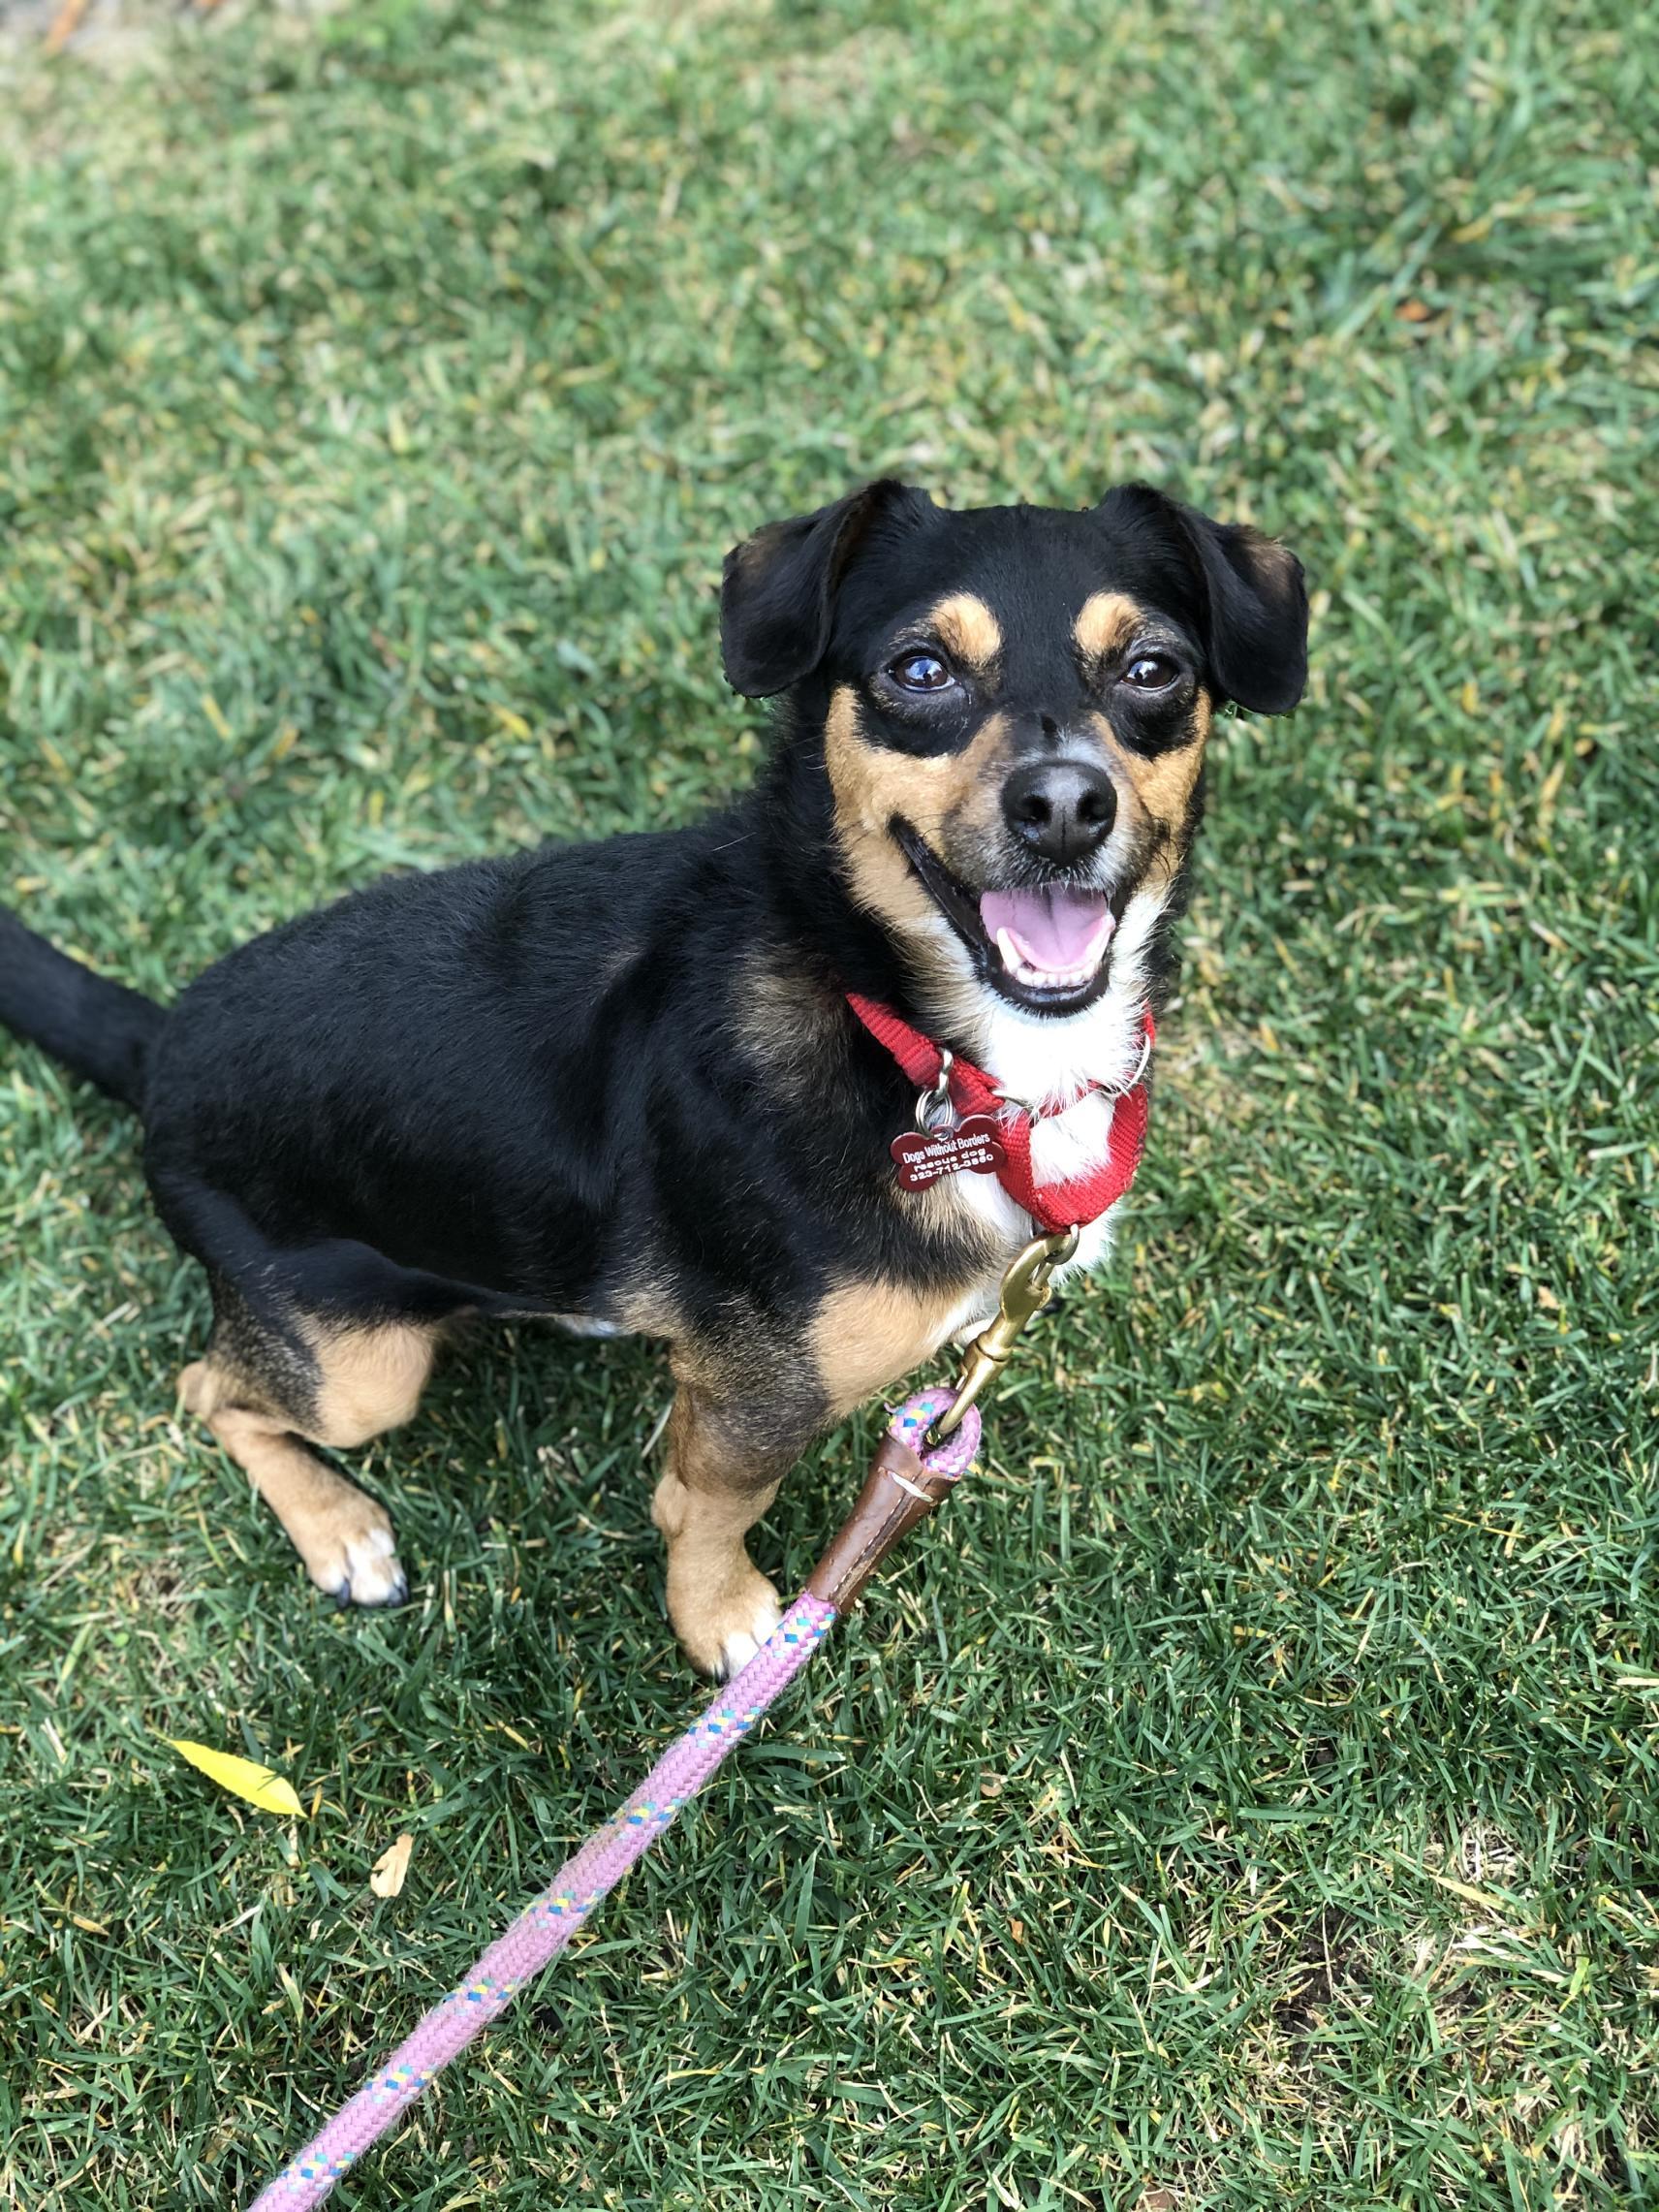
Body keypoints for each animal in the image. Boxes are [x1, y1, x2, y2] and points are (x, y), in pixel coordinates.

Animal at [0, 475, 1309, 1663]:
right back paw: (338, 1527)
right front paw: (723, 1621)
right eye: (919, 670)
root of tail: (161, 1046)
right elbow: (707, 1505)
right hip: (356, 1369)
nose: (1064, 805)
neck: (907, 1031)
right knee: (210, 1390)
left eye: (1152, 668)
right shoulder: (757, 1392)